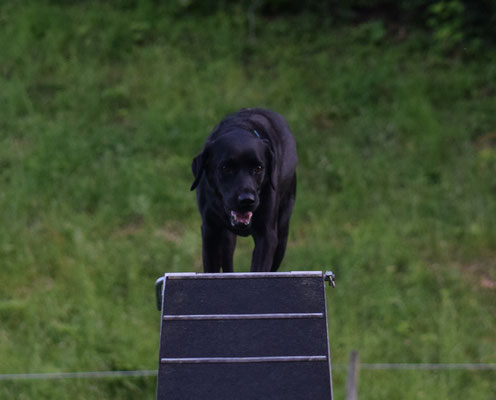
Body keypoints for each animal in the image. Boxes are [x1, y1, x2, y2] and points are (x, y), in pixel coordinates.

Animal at [192, 108, 296, 274]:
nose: (247, 200)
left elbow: (258, 270)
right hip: (227, 239)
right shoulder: (210, 231)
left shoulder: (267, 236)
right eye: (225, 168)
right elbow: (211, 269)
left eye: (258, 168)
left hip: (282, 237)